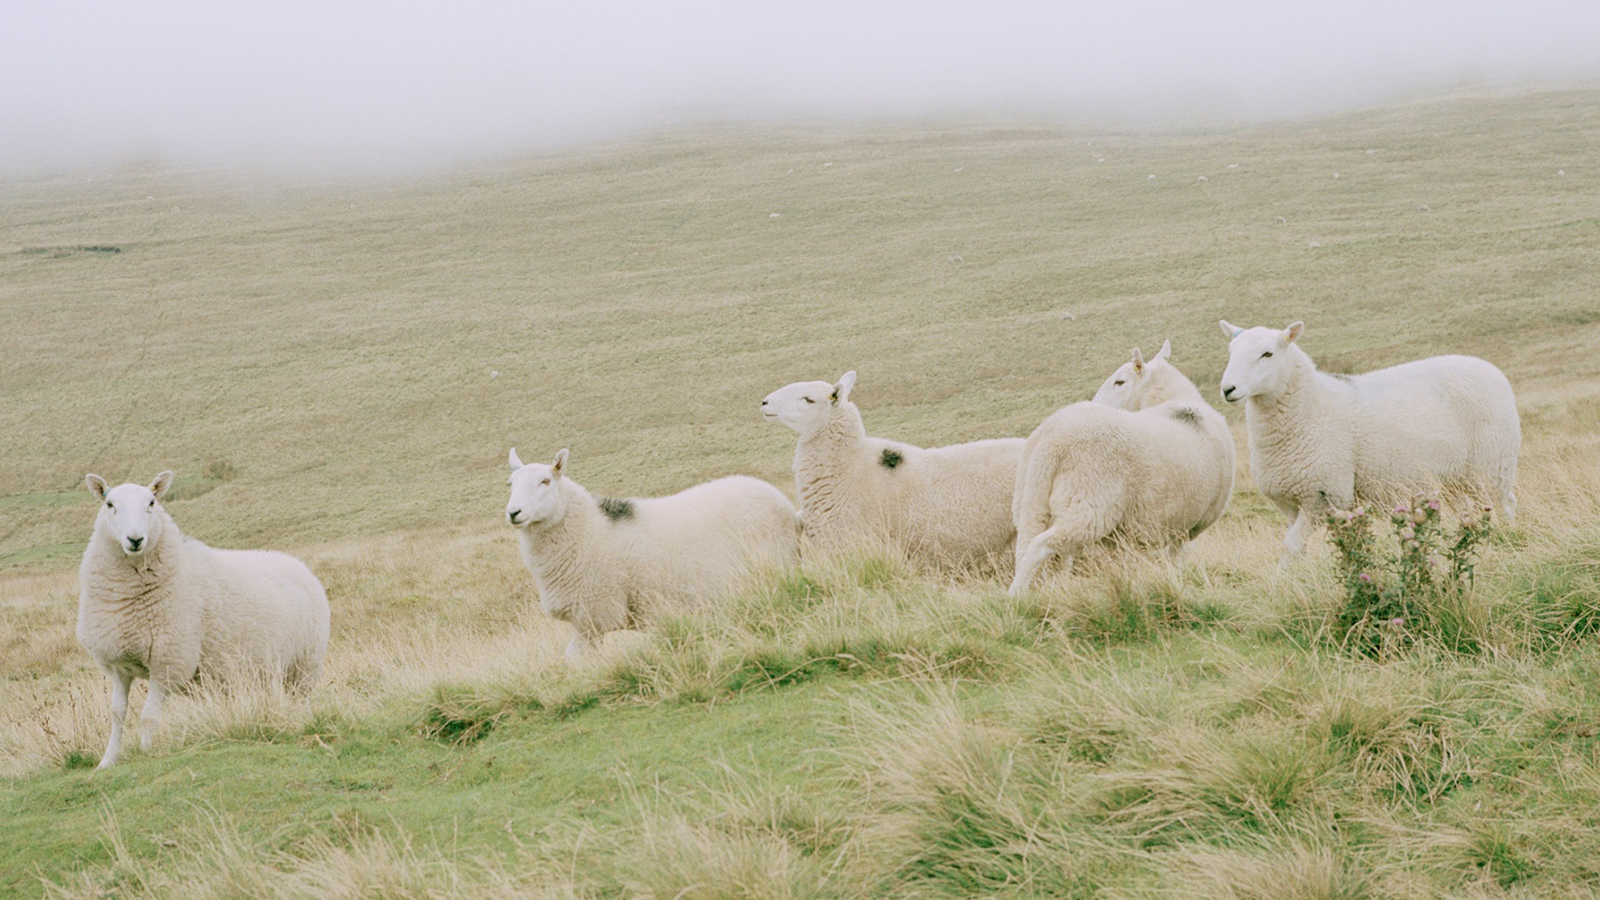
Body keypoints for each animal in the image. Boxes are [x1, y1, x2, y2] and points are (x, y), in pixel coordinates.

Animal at [78, 470, 331, 762]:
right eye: (110, 505)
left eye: (151, 503)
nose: (135, 539)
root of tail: (299, 565)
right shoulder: (119, 664)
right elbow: (117, 715)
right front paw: (107, 761)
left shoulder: (168, 661)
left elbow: (148, 717)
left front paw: (146, 753)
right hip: (266, 671)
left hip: (305, 666)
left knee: (302, 699)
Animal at [505, 445, 800, 656]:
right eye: (510, 483)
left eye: (545, 481)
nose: (513, 512)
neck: (590, 529)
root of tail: (785, 506)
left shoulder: (593, 617)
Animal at [1011, 337, 1235, 595]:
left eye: (1120, 381)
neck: (1176, 401)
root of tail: (1050, 440)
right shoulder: (1184, 528)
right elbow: (1176, 561)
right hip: (1088, 505)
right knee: (1039, 546)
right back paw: (1015, 596)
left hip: (1029, 500)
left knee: (1031, 550)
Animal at [1216, 315, 1516, 554]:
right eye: (1230, 352)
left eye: (1267, 354)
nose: (1228, 389)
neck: (1311, 406)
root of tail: (1489, 368)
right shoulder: (1290, 503)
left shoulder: (1322, 497)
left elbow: (1291, 546)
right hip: (1455, 480)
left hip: (1492, 468)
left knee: (1503, 508)